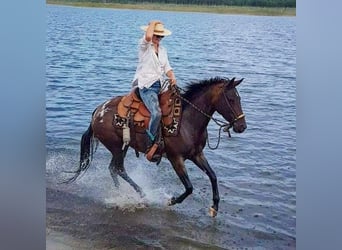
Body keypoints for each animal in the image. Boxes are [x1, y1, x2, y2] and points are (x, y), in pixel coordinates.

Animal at [64, 76, 246, 217]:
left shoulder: (197, 154)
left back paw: (122, 192)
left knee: (114, 169)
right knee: (118, 168)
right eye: (231, 99)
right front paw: (171, 200)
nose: (242, 126)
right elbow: (189, 187)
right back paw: (140, 194)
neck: (188, 121)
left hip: (122, 147)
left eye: (239, 99)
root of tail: (97, 111)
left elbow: (213, 176)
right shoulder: (175, 158)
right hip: (116, 147)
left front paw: (214, 207)